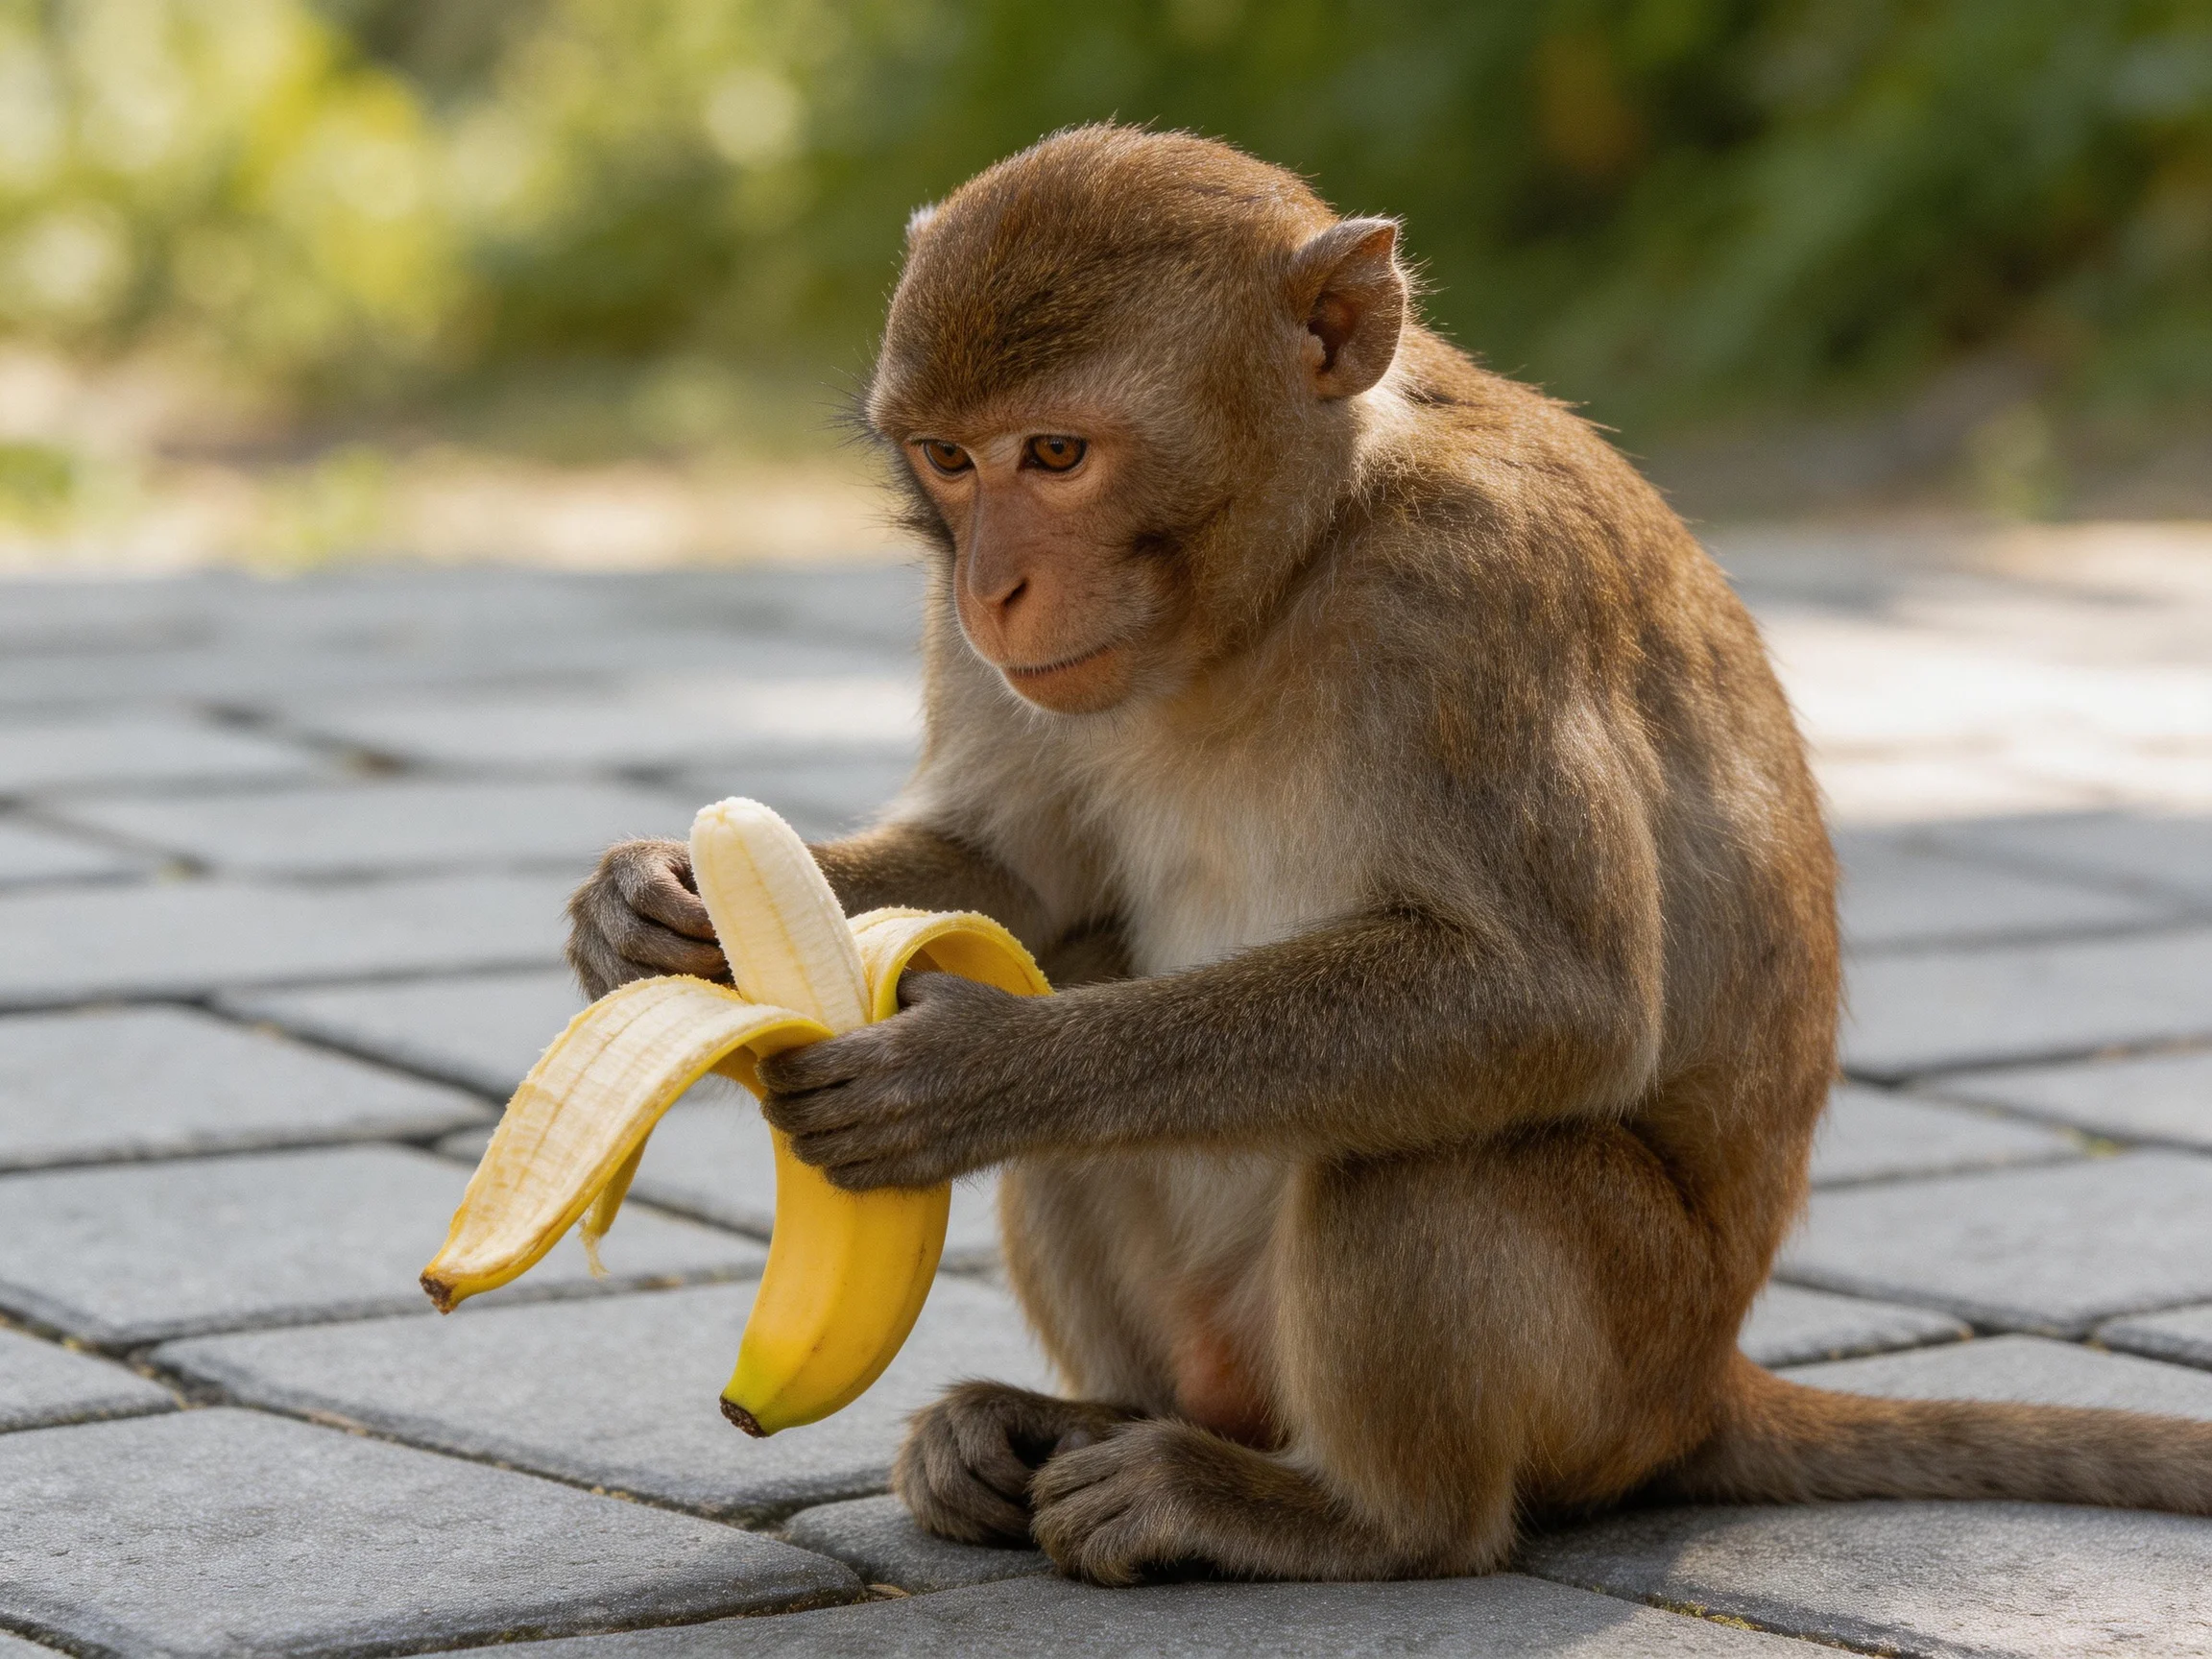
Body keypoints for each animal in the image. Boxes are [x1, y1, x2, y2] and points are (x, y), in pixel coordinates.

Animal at [567, 126, 2212, 1584]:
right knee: (1101, 962)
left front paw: (978, 1070)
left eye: (1058, 453)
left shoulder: (1473, 595)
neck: (1290, 573)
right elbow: (1017, 876)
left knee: (1426, 1148)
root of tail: (1706, 1386)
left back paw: (1347, 1519)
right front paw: (646, 908)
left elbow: (1550, 998)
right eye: (951, 463)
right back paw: (1064, 1426)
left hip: (1619, 1360)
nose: (993, 589)